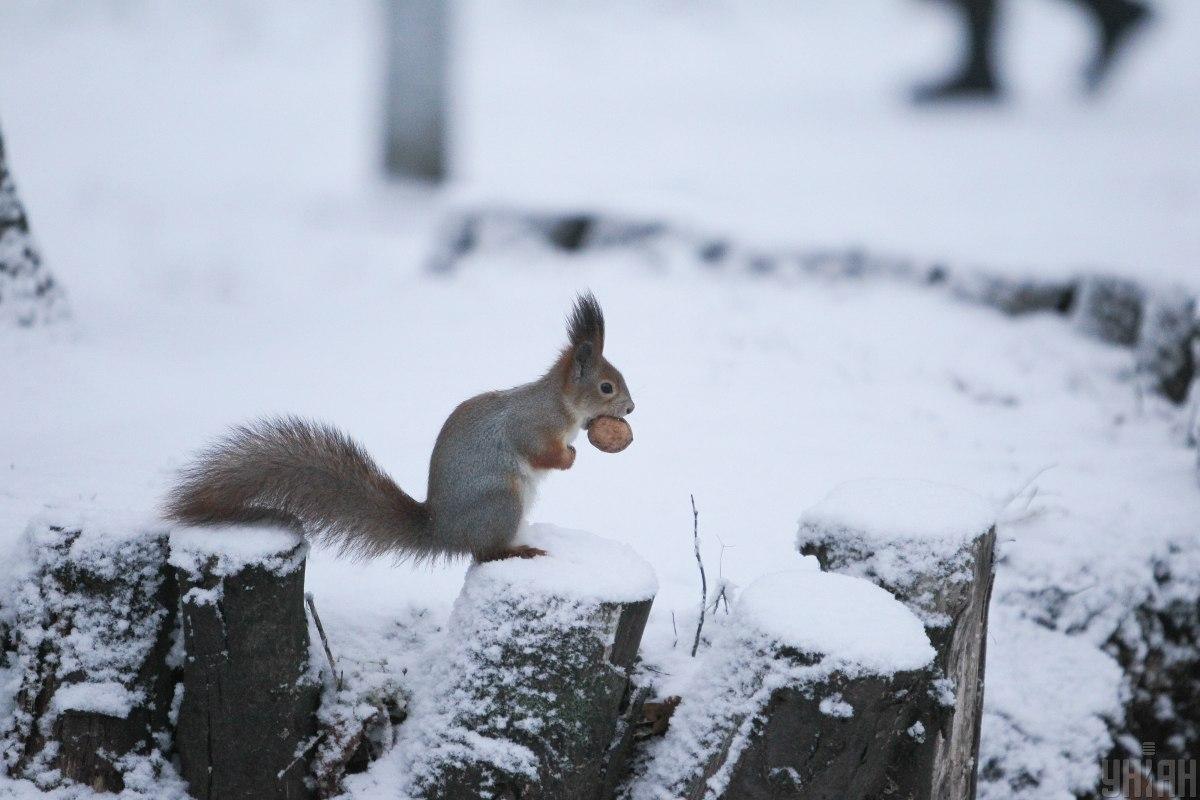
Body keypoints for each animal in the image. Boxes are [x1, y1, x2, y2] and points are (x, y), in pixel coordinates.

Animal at [169, 292, 638, 563]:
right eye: (606, 386)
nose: (632, 408)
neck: (561, 404)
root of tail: (443, 534)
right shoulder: (533, 424)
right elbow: (542, 452)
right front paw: (569, 457)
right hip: (501, 503)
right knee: (485, 553)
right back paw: (518, 550)